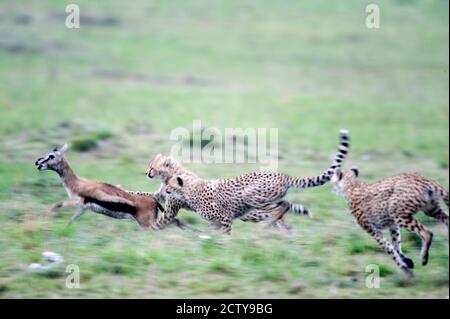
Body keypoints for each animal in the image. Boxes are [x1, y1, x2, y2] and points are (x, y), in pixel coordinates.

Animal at [163, 131, 350, 235]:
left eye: (169, 186)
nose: (164, 192)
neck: (190, 190)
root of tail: (282, 175)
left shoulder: (225, 218)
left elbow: (225, 232)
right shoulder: (217, 222)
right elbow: (211, 231)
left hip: (252, 196)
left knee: (280, 207)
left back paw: (268, 225)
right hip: (269, 198)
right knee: (286, 205)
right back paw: (278, 226)